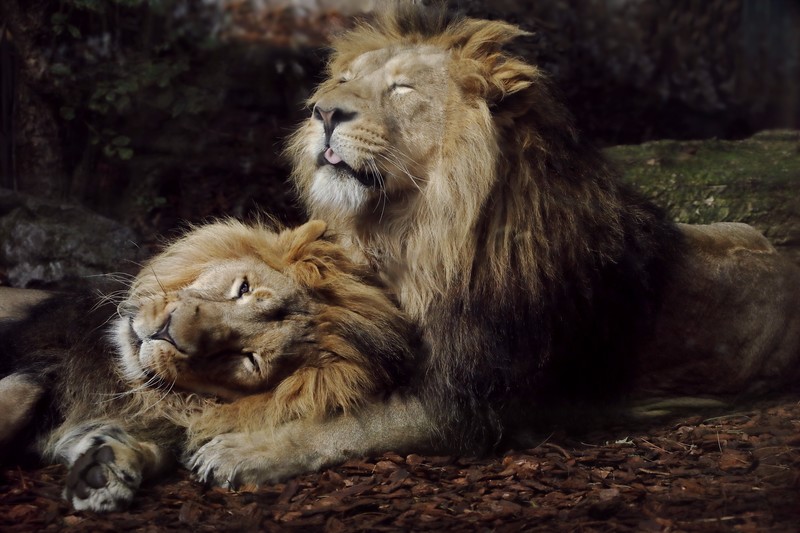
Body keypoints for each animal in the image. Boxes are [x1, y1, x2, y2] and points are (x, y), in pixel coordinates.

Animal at [0, 219, 415, 511]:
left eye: (249, 359)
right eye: (243, 289)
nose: (169, 332)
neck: (118, 378)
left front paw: (103, 470)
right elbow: (23, 391)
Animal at [185, 1, 800, 487]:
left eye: (402, 88)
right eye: (342, 82)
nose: (323, 113)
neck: (409, 234)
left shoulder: (476, 403)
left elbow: (349, 421)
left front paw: (242, 449)